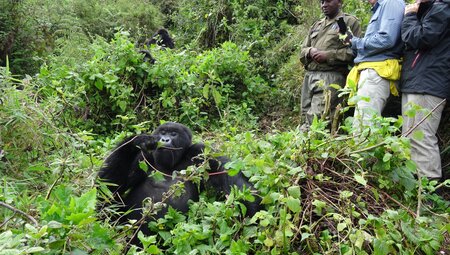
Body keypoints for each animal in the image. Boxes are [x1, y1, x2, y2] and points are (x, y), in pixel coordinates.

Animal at [97, 123, 262, 243]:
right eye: (162, 132)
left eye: (173, 134)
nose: (164, 140)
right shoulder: (143, 157)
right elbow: (109, 187)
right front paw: (136, 140)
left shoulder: (201, 152)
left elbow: (230, 177)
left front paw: (251, 223)